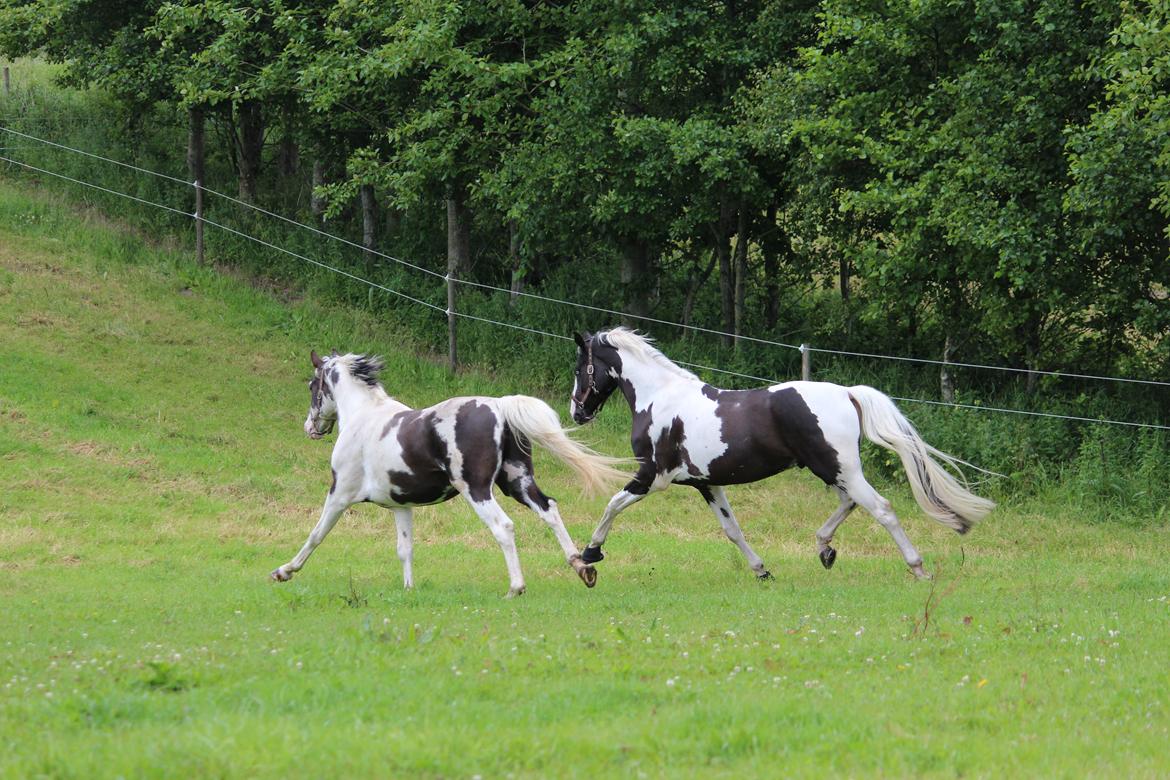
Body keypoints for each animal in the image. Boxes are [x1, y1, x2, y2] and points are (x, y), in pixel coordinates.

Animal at [271, 353, 631, 598]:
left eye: (312, 385)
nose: (310, 428)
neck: (364, 417)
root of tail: (499, 407)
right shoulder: (401, 505)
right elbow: (405, 548)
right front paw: (409, 590)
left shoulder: (340, 494)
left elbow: (316, 535)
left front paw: (283, 571)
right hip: (517, 481)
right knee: (550, 510)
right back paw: (583, 568)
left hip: (478, 489)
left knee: (504, 527)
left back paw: (515, 588)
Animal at [570, 329, 992, 580]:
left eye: (580, 367)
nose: (577, 412)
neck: (660, 399)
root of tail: (847, 393)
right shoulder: (707, 483)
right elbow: (732, 529)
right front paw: (761, 571)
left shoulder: (650, 476)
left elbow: (612, 504)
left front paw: (589, 554)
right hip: (831, 469)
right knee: (849, 503)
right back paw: (825, 549)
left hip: (840, 468)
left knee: (881, 509)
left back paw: (918, 569)